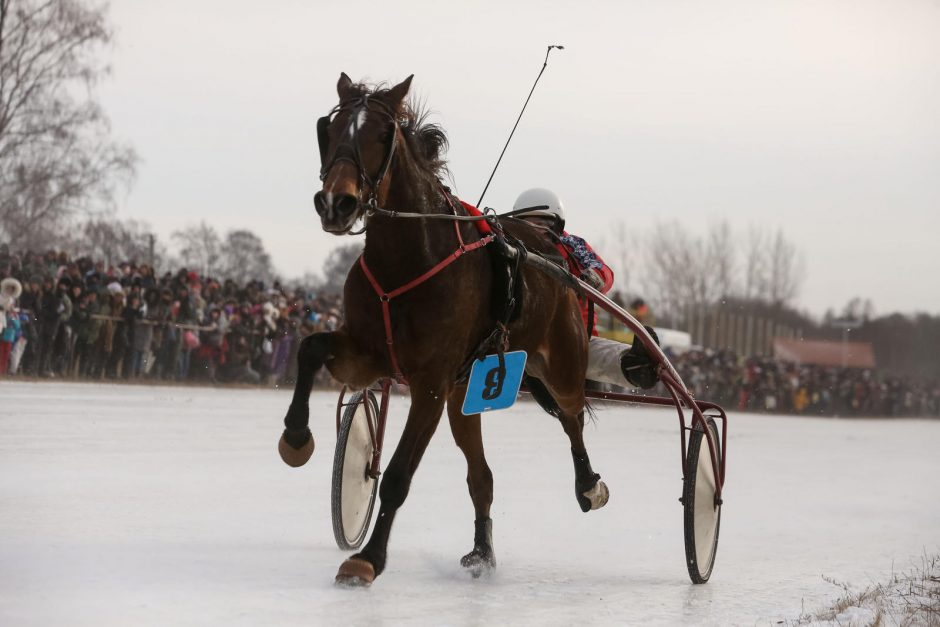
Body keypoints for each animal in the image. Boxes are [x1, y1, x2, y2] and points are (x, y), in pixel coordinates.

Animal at [278, 75, 608, 588]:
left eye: (381, 134)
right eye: (328, 130)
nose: (337, 202)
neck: (409, 260)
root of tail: (554, 256)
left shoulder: (430, 382)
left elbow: (397, 476)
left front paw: (367, 558)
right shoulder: (368, 353)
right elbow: (311, 349)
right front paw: (295, 437)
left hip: (562, 364)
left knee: (572, 417)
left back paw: (588, 484)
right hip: (464, 396)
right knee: (482, 477)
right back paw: (483, 552)